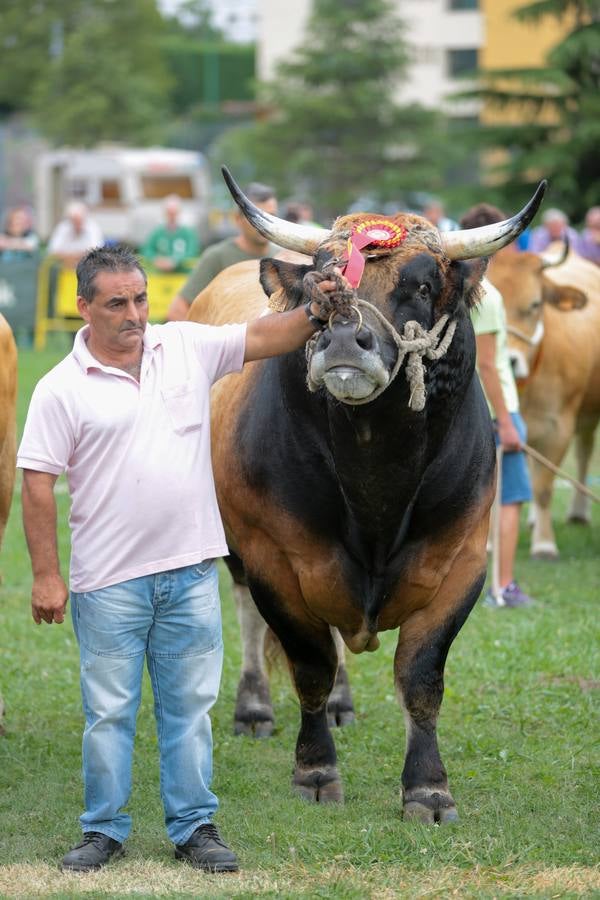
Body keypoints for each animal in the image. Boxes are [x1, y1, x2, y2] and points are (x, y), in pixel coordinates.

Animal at [190, 171, 548, 824]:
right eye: (321, 281)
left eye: (422, 286)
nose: (343, 341)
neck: (376, 487)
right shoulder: (275, 557)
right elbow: (308, 663)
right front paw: (315, 772)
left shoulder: (462, 560)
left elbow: (422, 678)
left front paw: (428, 789)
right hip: (233, 543)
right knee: (251, 617)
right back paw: (254, 708)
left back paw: (342, 704)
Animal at [488, 246, 600, 556]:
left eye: (535, 304)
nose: (510, 361)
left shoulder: (558, 428)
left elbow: (544, 488)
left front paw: (545, 543)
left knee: (584, 453)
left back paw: (577, 512)